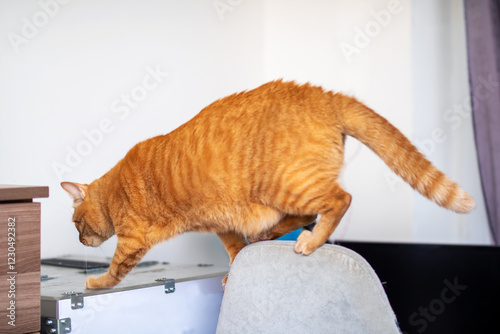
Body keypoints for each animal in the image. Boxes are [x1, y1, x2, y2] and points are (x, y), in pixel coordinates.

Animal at [60, 79, 474, 288]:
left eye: (76, 223)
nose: (79, 240)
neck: (113, 190)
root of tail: (324, 95)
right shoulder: (221, 223)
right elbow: (233, 249)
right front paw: (233, 271)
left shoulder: (132, 239)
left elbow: (115, 270)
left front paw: (94, 282)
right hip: (281, 194)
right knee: (303, 215)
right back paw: (269, 234)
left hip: (287, 184)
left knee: (338, 201)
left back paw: (311, 242)